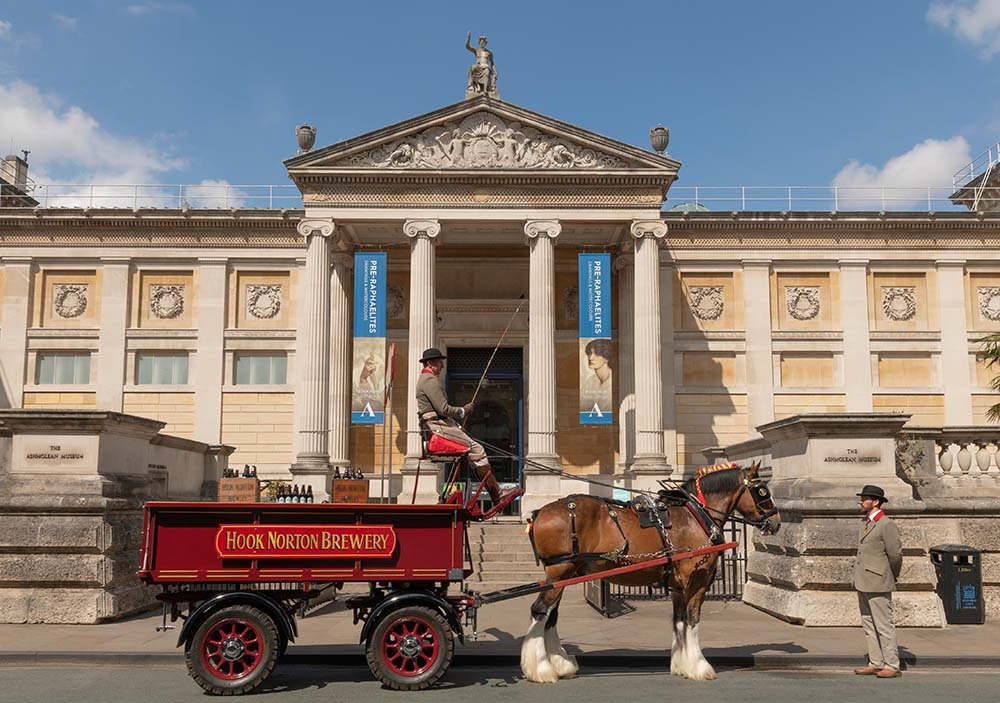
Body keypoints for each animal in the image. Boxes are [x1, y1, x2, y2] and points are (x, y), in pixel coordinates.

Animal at [524, 462, 780, 680]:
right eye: (762, 491)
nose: (776, 522)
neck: (694, 515)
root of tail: (539, 512)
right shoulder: (698, 580)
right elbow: (692, 619)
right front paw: (699, 666)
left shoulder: (678, 585)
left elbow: (678, 620)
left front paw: (681, 664)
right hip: (560, 570)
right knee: (540, 610)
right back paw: (541, 669)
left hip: (563, 574)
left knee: (551, 615)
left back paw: (559, 664)